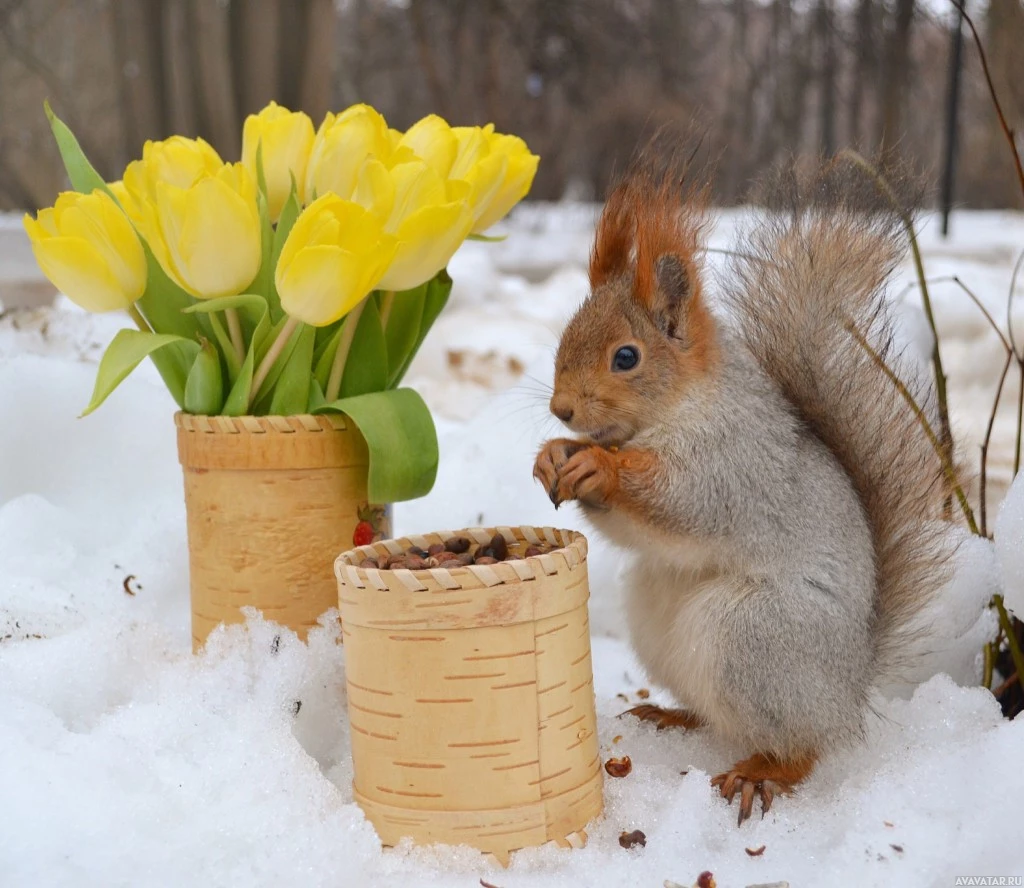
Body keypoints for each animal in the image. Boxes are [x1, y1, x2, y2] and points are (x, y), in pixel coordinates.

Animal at [536, 154, 950, 827]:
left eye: (626, 357)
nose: (562, 410)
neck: (677, 407)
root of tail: (850, 691)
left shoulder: (735, 460)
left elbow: (684, 499)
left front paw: (600, 466)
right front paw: (555, 455)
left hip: (753, 640)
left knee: (801, 745)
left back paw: (764, 773)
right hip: (663, 625)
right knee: (716, 713)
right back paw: (670, 715)